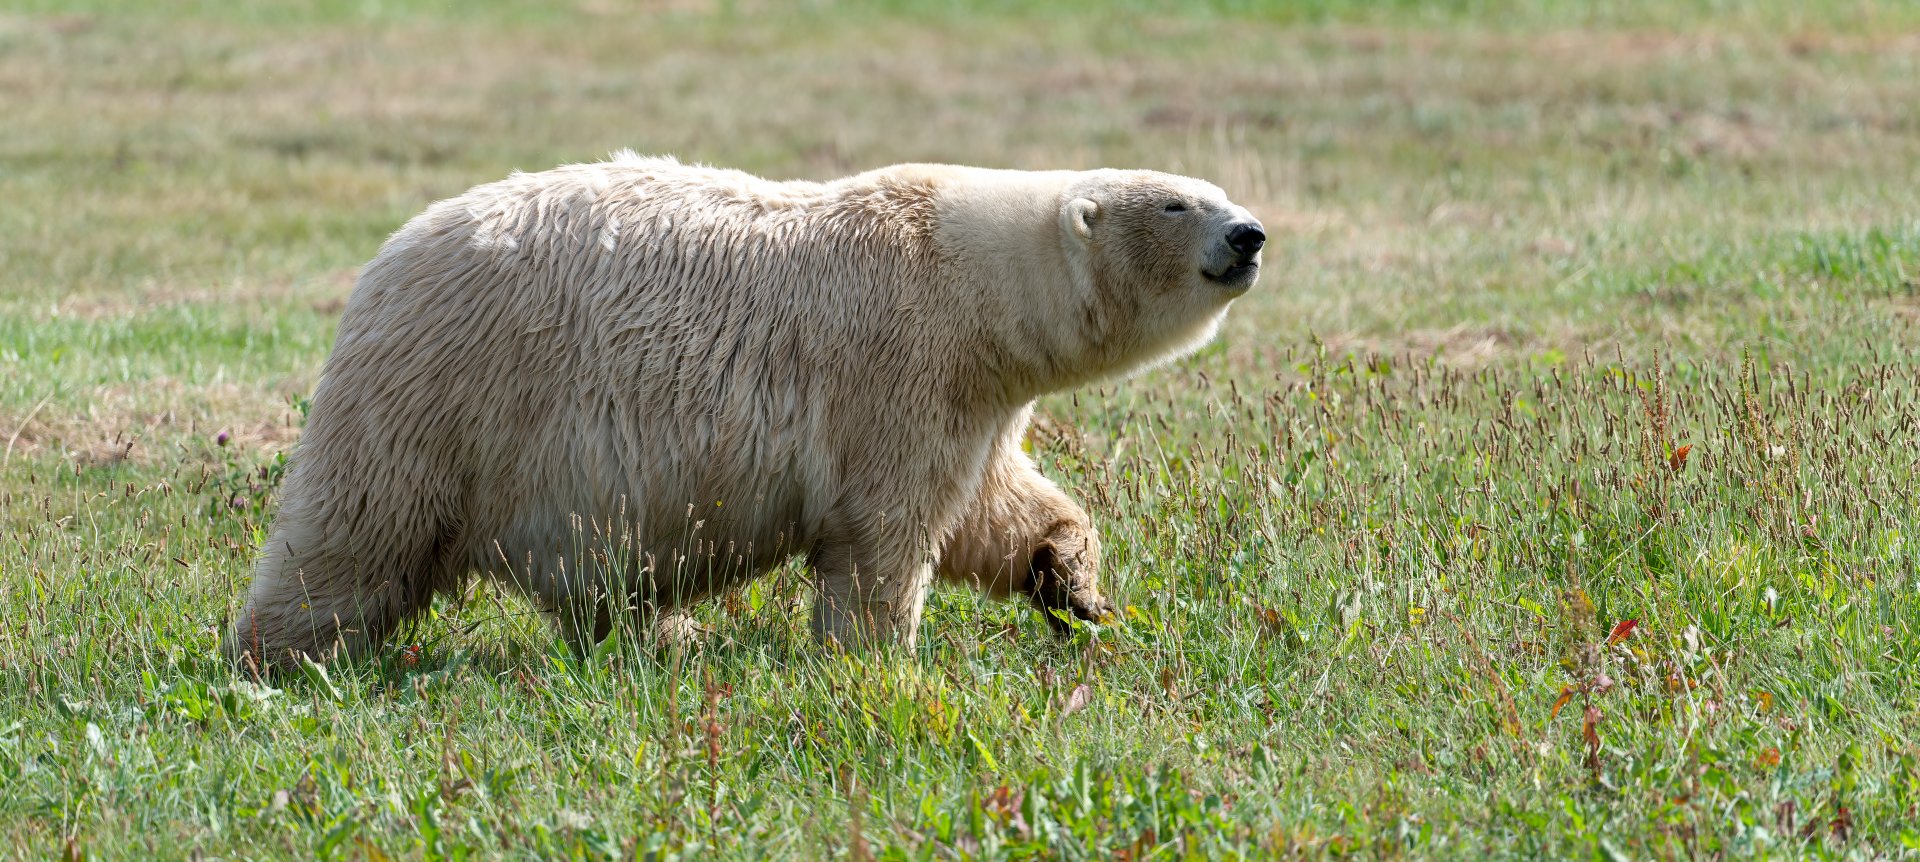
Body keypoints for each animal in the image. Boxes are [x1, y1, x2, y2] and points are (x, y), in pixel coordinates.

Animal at [226, 154, 1264, 669]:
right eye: (1177, 205)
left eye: (1216, 190)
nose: (1250, 235)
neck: (964, 271)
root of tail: (382, 266)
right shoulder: (897, 368)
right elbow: (887, 531)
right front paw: (875, 657)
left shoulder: (971, 395)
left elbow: (992, 507)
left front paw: (1074, 587)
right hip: (444, 395)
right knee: (356, 538)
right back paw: (282, 658)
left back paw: (664, 639)